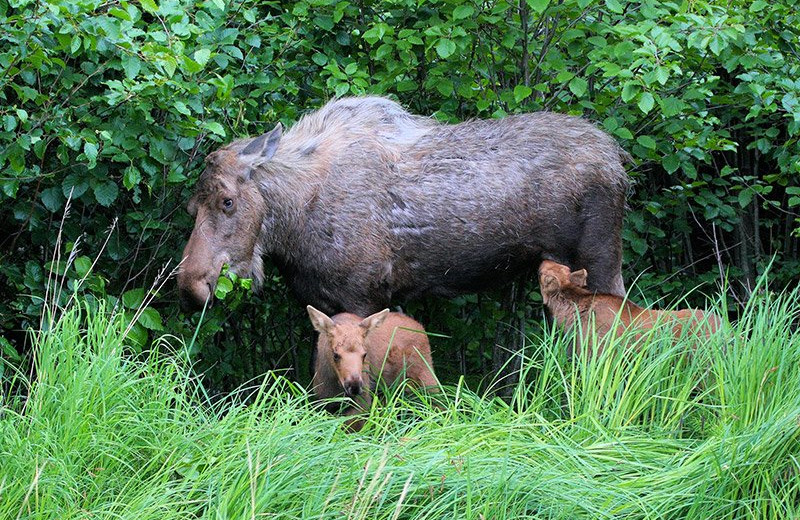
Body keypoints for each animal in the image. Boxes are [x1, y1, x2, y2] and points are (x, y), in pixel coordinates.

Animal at [178, 97, 628, 314]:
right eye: (191, 207)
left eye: (227, 201)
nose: (191, 286)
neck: (292, 225)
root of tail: (618, 160)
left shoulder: (365, 293)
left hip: (601, 257)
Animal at [304, 304, 438, 430]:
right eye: (335, 354)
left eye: (364, 354)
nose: (354, 386)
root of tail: (420, 327)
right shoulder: (323, 401)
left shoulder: (363, 401)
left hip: (427, 378)